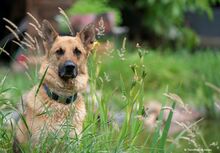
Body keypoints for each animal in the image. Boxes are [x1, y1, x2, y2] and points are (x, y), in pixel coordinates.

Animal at [12, 19, 95, 152]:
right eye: (59, 51)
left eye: (77, 51)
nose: (70, 67)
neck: (62, 100)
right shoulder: (39, 144)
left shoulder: (72, 144)